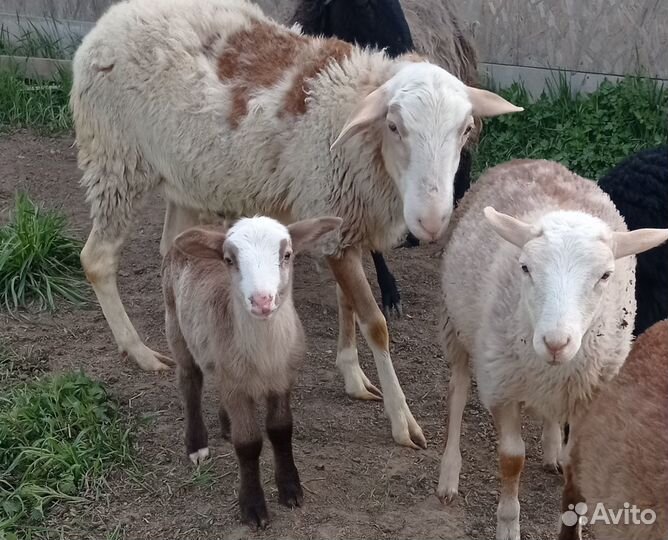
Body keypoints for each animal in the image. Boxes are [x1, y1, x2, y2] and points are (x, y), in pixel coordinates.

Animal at [162, 215, 342, 529]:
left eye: (287, 254)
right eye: (228, 259)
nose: (262, 301)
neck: (264, 355)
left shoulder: (281, 379)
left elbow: (281, 431)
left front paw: (290, 489)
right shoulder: (237, 387)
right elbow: (247, 444)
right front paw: (253, 506)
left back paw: (225, 424)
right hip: (174, 320)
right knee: (190, 381)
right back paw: (196, 444)